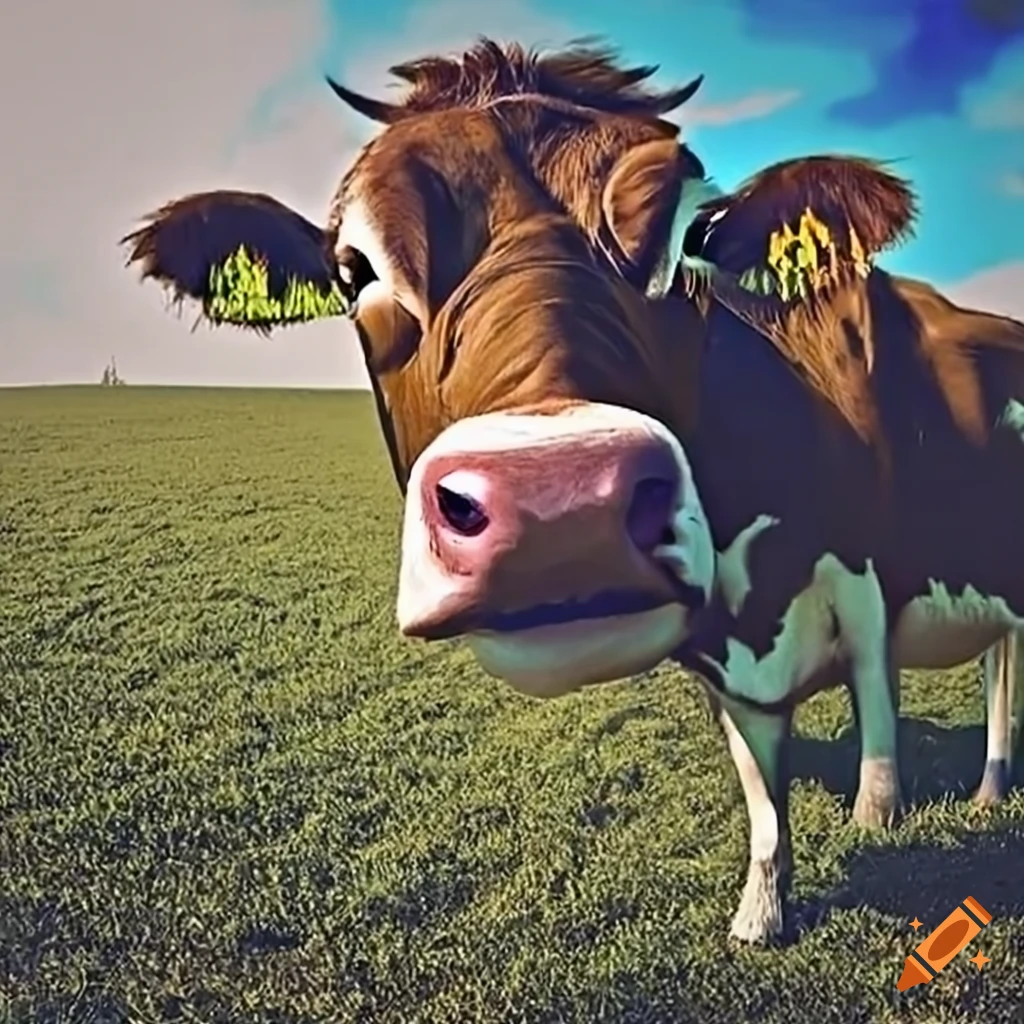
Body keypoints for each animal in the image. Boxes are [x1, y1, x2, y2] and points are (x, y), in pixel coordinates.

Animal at [120, 40, 1024, 944]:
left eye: (694, 236)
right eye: (352, 270)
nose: (562, 505)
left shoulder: (867, 569)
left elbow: (875, 699)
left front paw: (874, 812)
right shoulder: (722, 654)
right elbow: (762, 793)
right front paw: (762, 914)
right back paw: (990, 787)